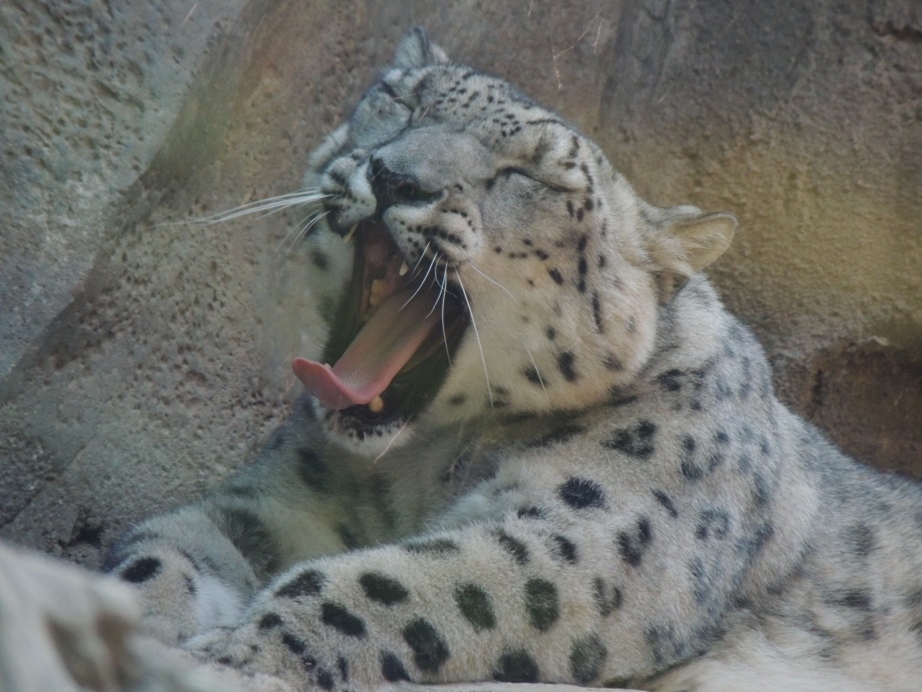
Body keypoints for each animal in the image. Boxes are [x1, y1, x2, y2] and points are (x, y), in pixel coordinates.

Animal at [104, 28, 922, 691]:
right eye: (403, 102)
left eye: (528, 177)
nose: (396, 176)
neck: (415, 464)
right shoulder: (292, 500)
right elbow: (171, 541)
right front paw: (133, 617)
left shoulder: (598, 533)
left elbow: (391, 582)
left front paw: (241, 650)